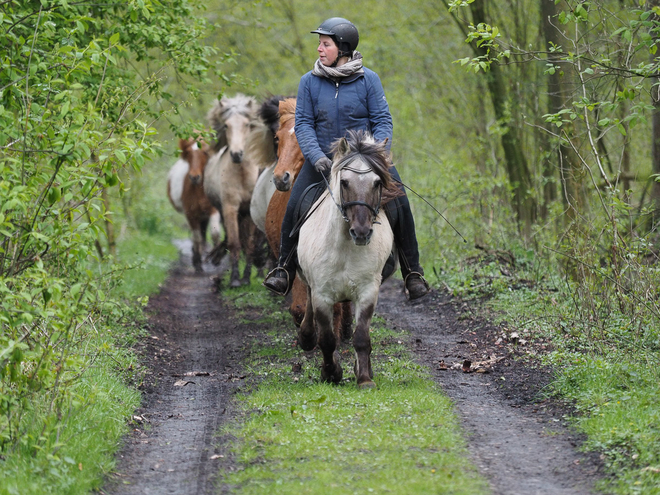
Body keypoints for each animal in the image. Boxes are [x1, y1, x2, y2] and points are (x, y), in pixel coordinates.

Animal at [168, 138, 222, 274]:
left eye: (205, 152)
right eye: (188, 153)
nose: (194, 176)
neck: (199, 189)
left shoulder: (213, 210)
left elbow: (215, 233)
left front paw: (217, 257)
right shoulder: (190, 214)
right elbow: (196, 237)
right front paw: (197, 262)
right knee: (196, 235)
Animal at [205, 94, 262, 286]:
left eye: (247, 124)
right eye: (226, 125)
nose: (237, 154)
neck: (242, 174)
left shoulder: (250, 212)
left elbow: (250, 244)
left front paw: (246, 278)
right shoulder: (230, 208)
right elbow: (234, 242)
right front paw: (235, 279)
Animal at [298, 130, 398, 390]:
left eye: (377, 182)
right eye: (344, 182)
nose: (361, 232)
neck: (344, 248)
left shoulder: (368, 291)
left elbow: (362, 336)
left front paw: (364, 378)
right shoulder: (322, 294)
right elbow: (327, 339)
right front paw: (331, 373)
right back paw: (306, 337)